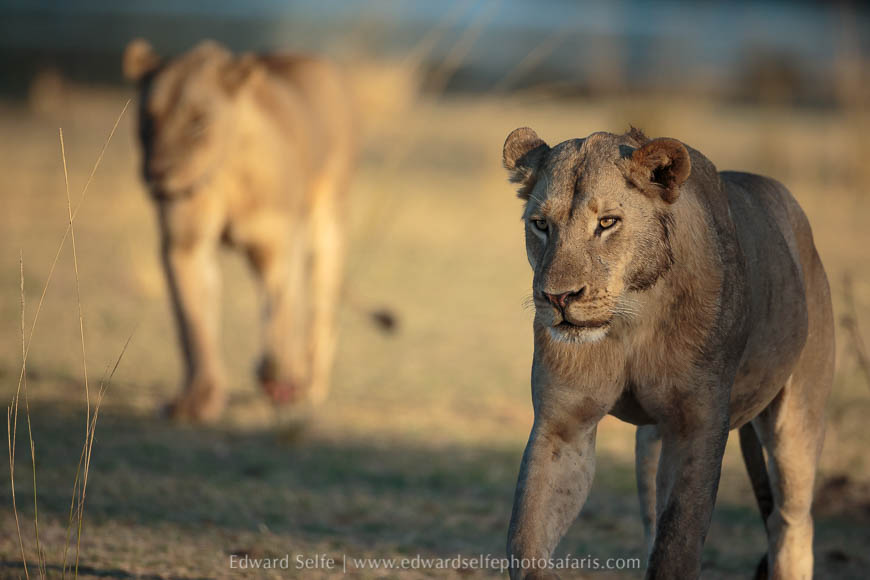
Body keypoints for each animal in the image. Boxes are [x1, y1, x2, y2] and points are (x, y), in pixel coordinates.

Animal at [123, 39, 355, 422]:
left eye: (198, 122)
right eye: (148, 119)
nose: (157, 173)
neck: (224, 171)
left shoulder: (275, 242)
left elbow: (280, 310)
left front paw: (277, 374)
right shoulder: (185, 244)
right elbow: (193, 322)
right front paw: (199, 399)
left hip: (329, 220)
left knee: (319, 304)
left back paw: (310, 382)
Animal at [502, 127, 833, 579]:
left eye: (607, 222)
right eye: (540, 225)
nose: (557, 297)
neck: (631, 319)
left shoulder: (698, 425)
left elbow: (677, 545)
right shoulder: (562, 425)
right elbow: (528, 536)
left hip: (797, 421)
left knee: (791, 523)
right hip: (651, 445)